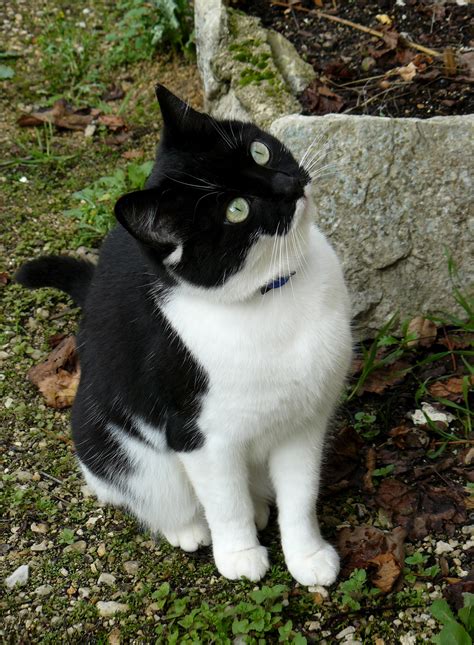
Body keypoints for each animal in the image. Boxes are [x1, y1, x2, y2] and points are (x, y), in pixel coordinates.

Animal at [15, 84, 352, 584]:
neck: (277, 293)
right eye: (236, 210)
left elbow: (300, 496)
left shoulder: (303, 421)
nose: (289, 185)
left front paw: (307, 556)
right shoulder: (200, 435)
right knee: (134, 486)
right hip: (113, 444)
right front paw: (239, 556)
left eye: (260, 150)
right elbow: (225, 502)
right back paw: (188, 527)